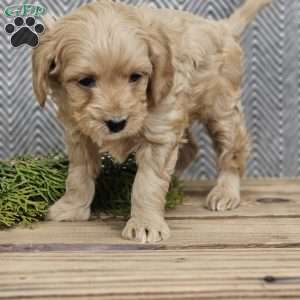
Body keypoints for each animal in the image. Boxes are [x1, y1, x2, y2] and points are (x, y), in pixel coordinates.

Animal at [32, 0, 272, 244]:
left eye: (136, 77)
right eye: (85, 81)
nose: (117, 123)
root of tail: (222, 27)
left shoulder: (160, 132)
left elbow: (147, 183)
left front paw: (145, 224)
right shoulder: (78, 132)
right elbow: (79, 173)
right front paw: (72, 207)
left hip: (222, 109)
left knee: (232, 150)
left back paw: (225, 192)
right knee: (190, 149)